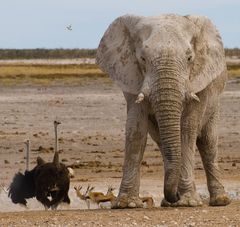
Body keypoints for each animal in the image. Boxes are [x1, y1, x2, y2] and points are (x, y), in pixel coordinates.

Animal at [95, 13, 231, 207]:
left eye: (189, 58)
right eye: (143, 59)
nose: (175, 197)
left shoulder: (199, 81)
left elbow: (187, 130)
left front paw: (188, 202)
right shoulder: (132, 77)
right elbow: (136, 132)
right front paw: (126, 204)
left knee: (208, 142)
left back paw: (220, 200)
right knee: (161, 141)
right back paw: (169, 203)